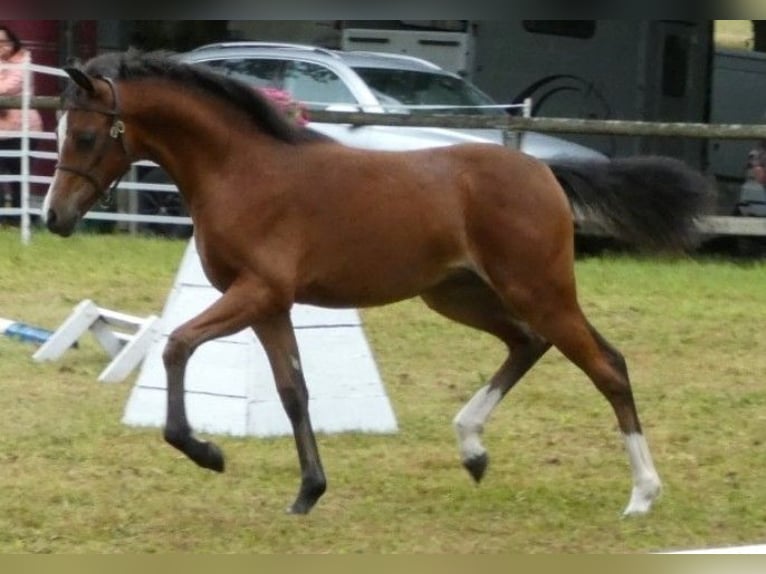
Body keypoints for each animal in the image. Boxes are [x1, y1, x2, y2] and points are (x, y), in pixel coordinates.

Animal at [40, 49, 712, 516]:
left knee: (607, 365)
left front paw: (207, 452)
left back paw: (642, 494)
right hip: (457, 295)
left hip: (539, 290)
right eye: (59, 133)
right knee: (527, 343)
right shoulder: (270, 305)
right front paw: (309, 492)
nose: (54, 217)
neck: (242, 169)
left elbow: (177, 345)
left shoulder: (256, 292)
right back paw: (472, 449)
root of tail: (544, 170)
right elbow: (293, 392)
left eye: (87, 135)